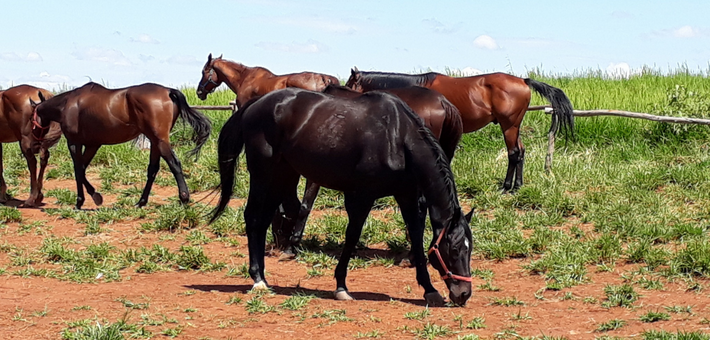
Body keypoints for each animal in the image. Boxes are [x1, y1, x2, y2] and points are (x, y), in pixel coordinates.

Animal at [30, 82, 213, 210]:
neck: (68, 104)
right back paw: (141, 202)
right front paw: (93, 197)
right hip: (155, 141)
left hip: (160, 140)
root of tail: (168, 91)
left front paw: (85, 200)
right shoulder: (93, 144)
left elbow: (78, 170)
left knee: (174, 164)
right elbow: (81, 169)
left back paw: (184, 197)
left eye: (32, 116)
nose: (34, 138)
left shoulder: (74, 143)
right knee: (152, 170)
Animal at [211, 87, 478, 306]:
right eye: (454, 249)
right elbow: (352, 237)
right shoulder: (361, 196)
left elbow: (416, 237)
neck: (397, 138)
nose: (464, 294)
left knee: (265, 220)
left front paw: (429, 289)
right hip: (263, 175)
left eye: (470, 248)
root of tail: (256, 104)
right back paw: (257, 279)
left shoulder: (408, 196)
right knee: (253, 218)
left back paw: (265, 276)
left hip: (282, 176)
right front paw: (341, 287)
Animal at [346, 67, 580, 193]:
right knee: (520, 152)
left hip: (509, 126)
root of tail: (523, 80)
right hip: (515, 127)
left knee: (513, 153)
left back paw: (506, 187)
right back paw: (517, 186)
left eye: (349, 83)